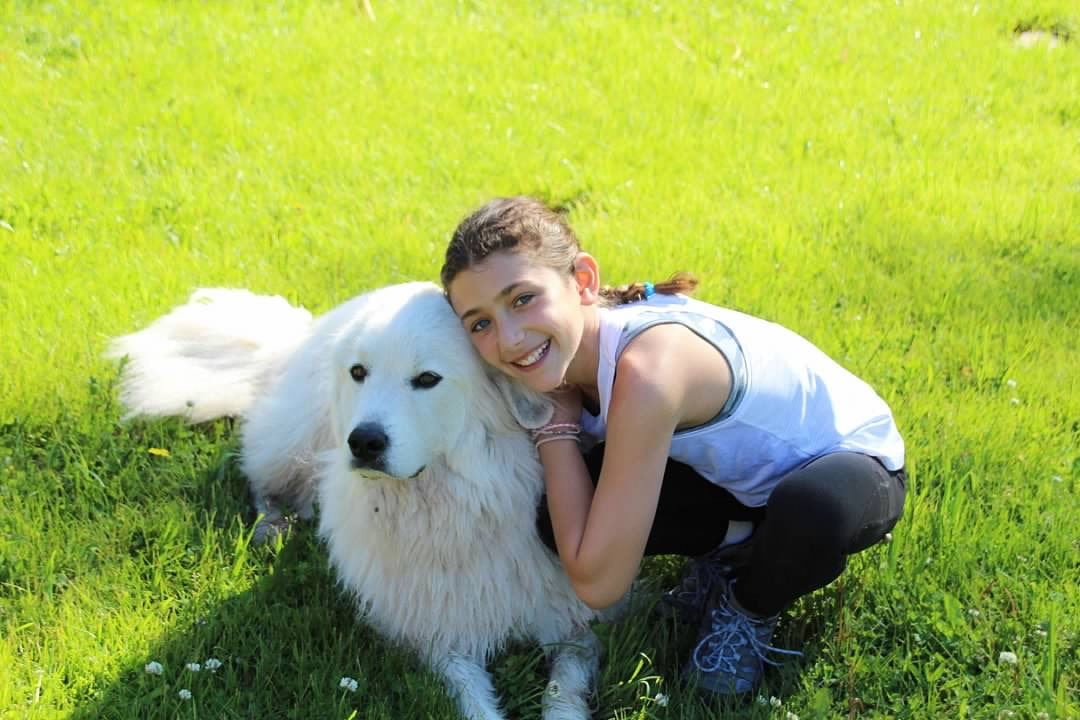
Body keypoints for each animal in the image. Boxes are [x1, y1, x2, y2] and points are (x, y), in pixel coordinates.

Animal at [111, 280, 609, 720]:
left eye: (427, 379)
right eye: (359, 373)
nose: (364, 441)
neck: (453, 508)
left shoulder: (574, 628)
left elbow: (562, 691)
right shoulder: (438, 638)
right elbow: (474, 703)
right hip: (292, 440)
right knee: (261, 483)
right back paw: (274, 528)